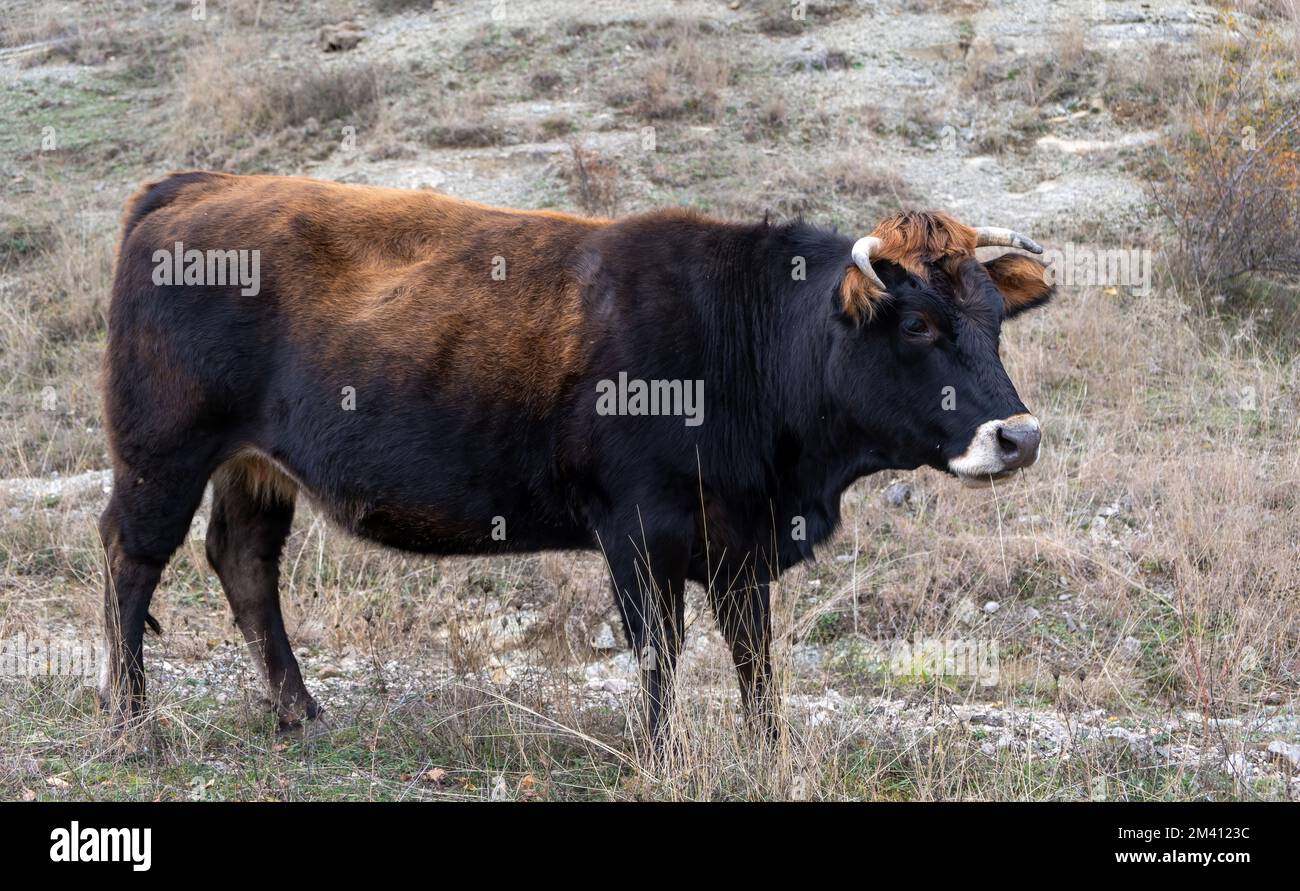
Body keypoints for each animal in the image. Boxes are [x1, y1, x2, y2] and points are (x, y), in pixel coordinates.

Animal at [98, 172, 1053, 744]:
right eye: (918, 324)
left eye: (994, 320)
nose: (1020, 437)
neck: (738, 337)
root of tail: (198, 184)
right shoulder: (638, 532)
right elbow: (660, 654)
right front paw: (662, 754)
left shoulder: (741, 543)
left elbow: (755, 656)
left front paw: (765, 746)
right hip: (164, 452)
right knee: (131, 557)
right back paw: (132, 718)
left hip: (252, 467)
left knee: (244, 563)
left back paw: (300, 711)